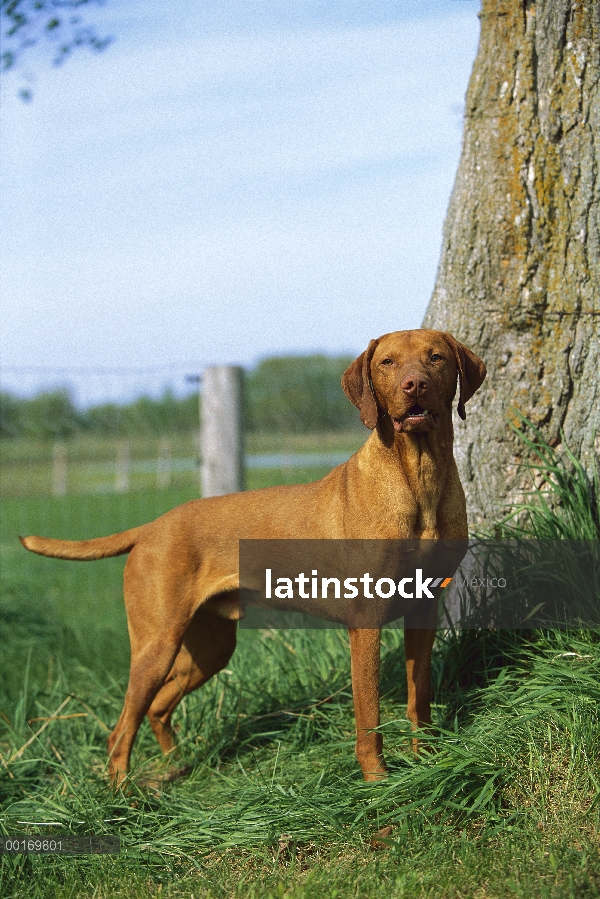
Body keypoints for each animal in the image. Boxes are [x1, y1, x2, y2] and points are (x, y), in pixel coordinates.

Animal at [21, 326, 486, 784]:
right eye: (387, 362)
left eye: (436, 357)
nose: (415, 385)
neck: (419, 476)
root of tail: (150, 528)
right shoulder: (365, 619)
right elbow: (368, 715)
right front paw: (377, 780)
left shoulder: (424, 607)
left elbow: (419, 695)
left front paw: (427, 757)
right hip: (157, 644)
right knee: (122, 727)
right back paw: (123, 792)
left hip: (210, 647)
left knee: (156, 708)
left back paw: (175, 766)